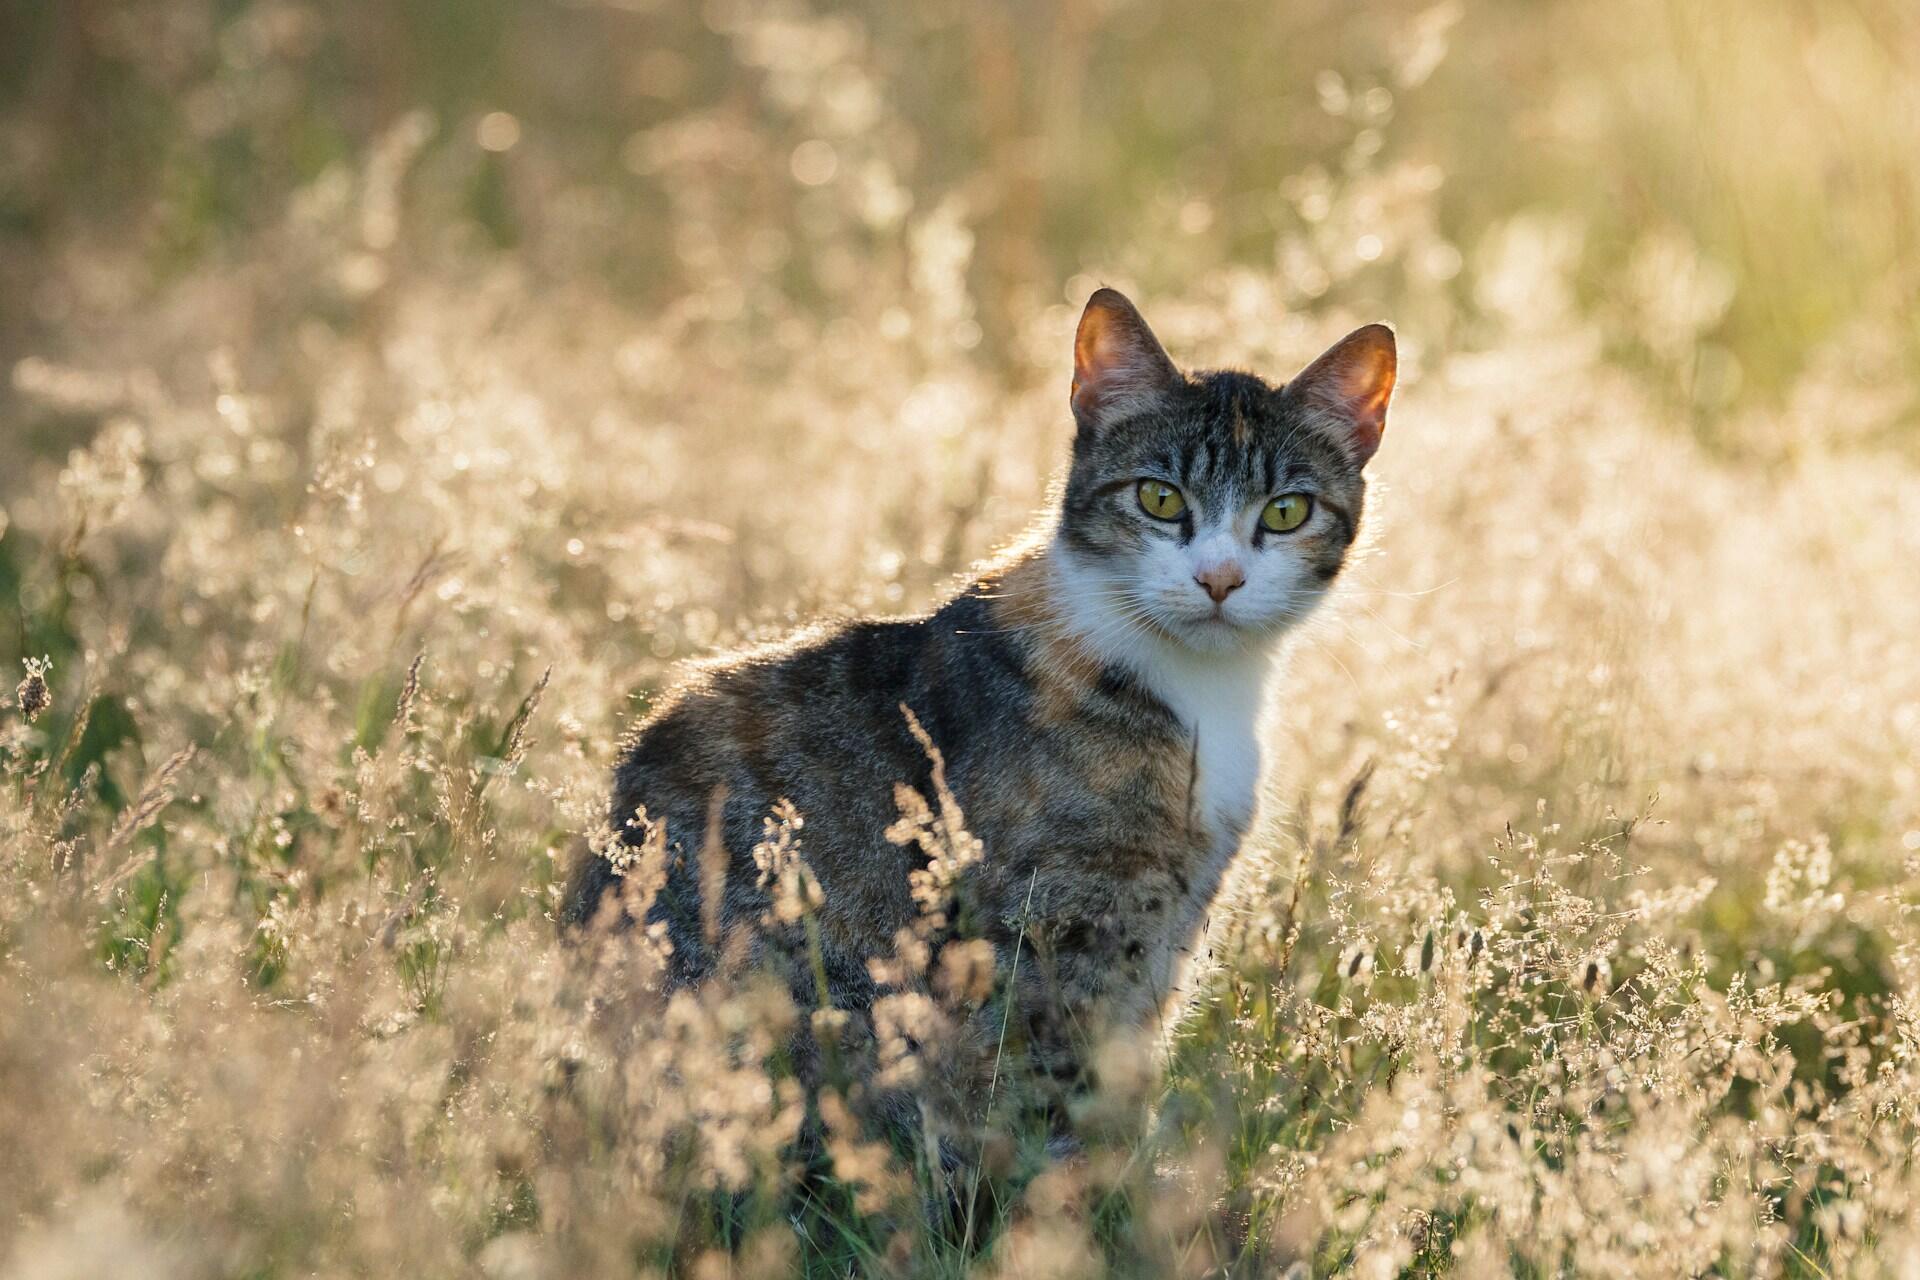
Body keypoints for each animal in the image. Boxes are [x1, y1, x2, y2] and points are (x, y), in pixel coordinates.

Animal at [560, 293, 1390, 1151]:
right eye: (1159, 499)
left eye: (1286, 512)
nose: (1220, 578)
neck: (1202, 690)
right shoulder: (1052, 940)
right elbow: (1056, 1102)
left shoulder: (1159, 936)